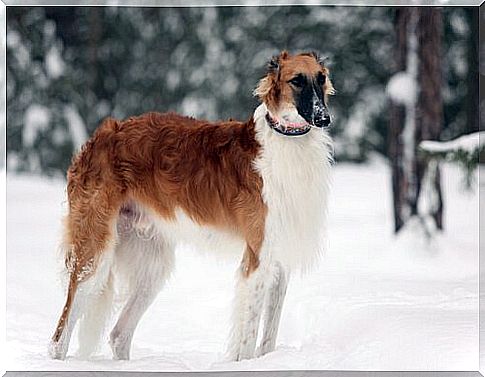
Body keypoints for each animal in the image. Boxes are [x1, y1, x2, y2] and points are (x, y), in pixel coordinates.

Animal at [49, 50, 334, 362]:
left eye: (321, 78)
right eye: (296, 80)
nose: (324, 118)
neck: (285, 140)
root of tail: (98, 138)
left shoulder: (280, 258)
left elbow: (268, 336)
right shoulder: (257, 257)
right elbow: (247, 340)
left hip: (150, 265)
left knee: (118, 335)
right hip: (94, 252)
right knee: (59, 338)